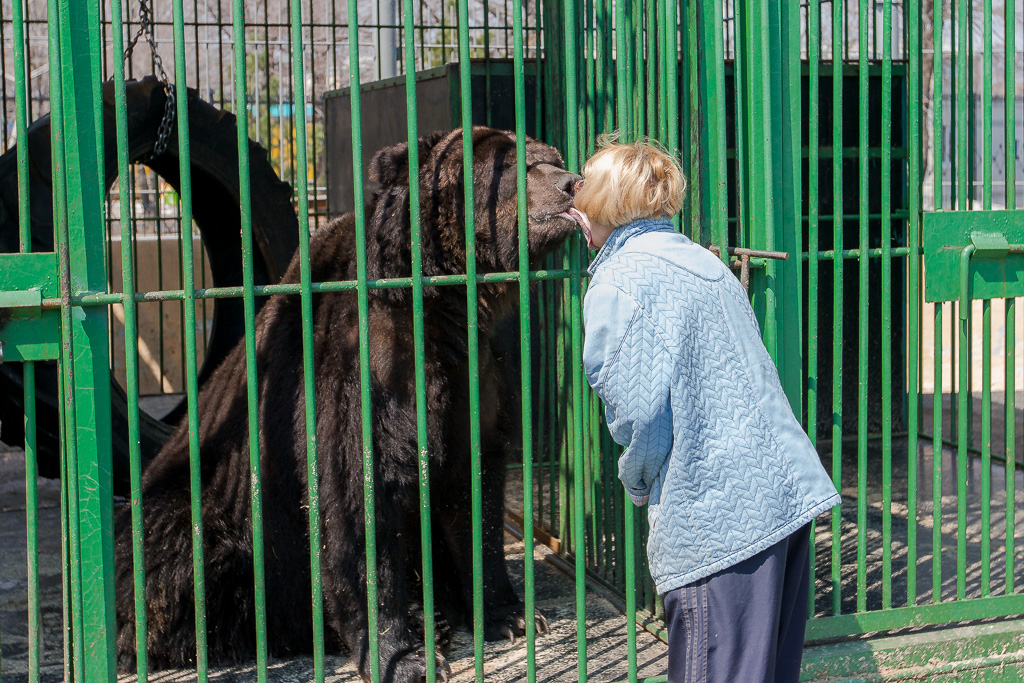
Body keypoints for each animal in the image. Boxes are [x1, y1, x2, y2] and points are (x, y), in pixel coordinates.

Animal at [113, 125, 585, 679]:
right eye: (513, 164)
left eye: (550, 155)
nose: (572, 182)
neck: (443, 303)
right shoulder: (357, 372)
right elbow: (358, 500)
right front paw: (404, 656)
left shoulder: (476, 376)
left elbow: (476, 489)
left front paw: (511, 615)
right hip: (200, 502)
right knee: (176, 548)